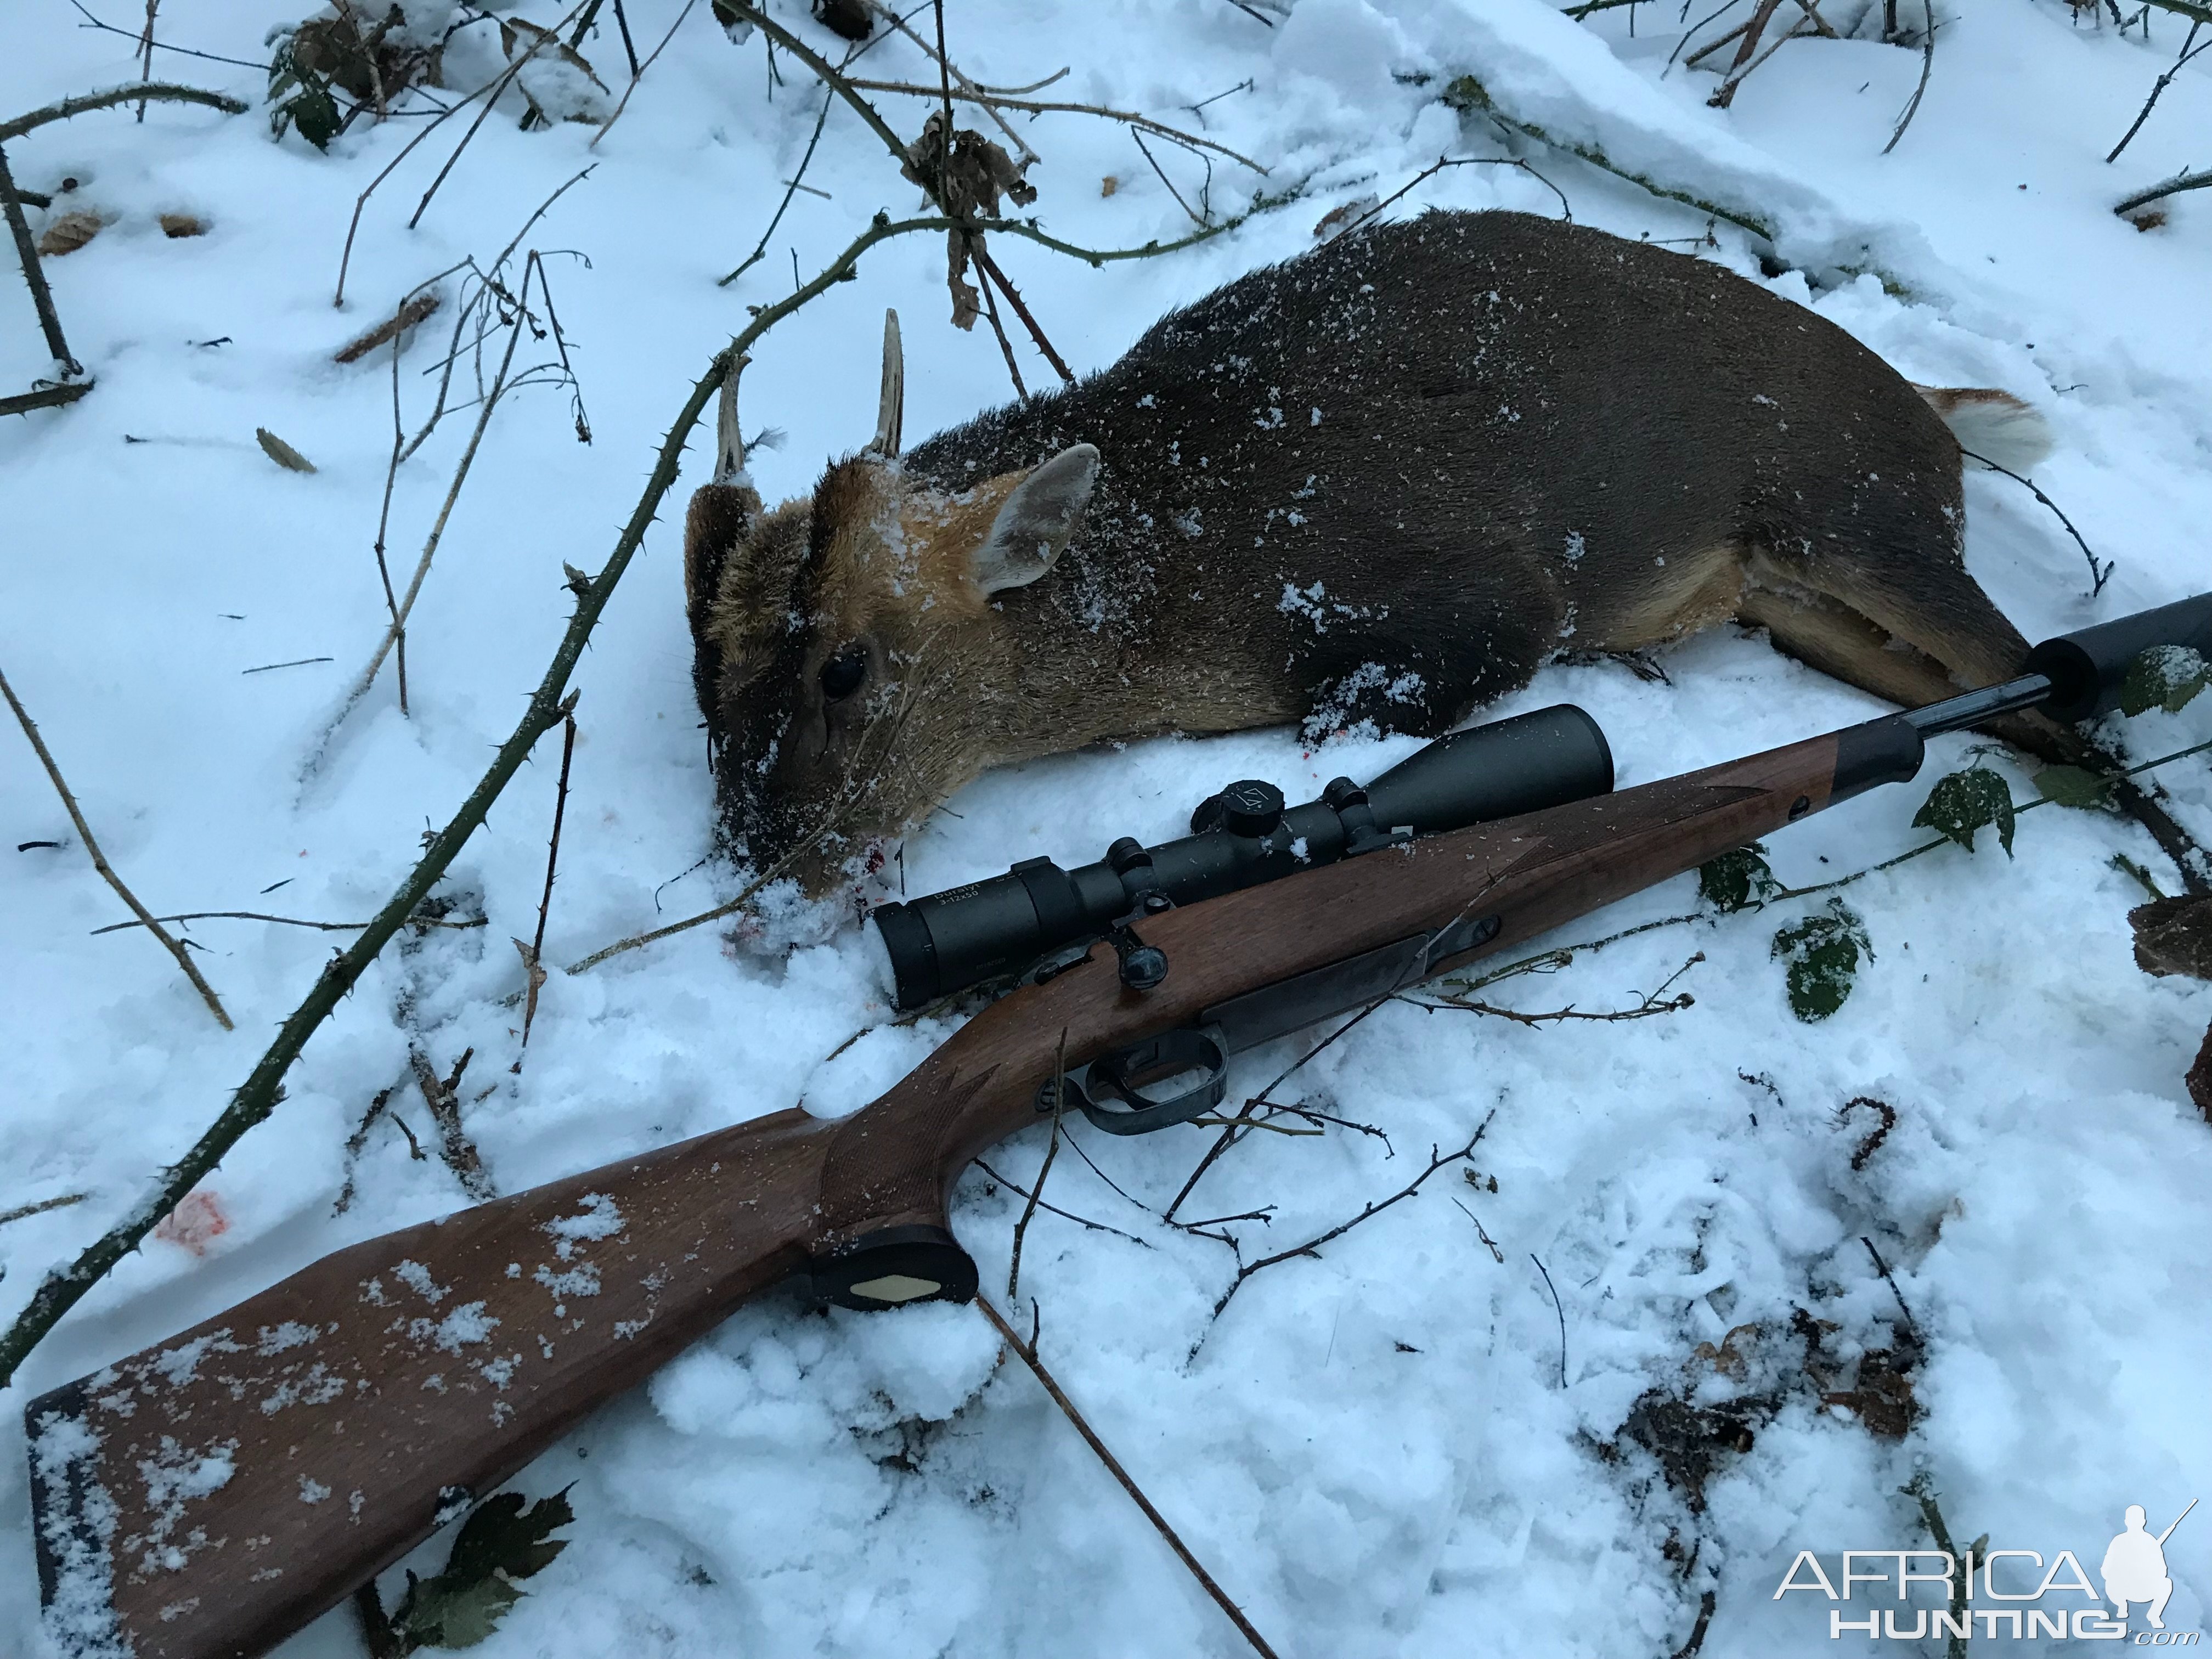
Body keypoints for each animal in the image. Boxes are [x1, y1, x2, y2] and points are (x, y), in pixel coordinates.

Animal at [685, 216, 2194, 902]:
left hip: (1864, 517)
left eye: (845, 668)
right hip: (1794, 601)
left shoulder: (1488, 597)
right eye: (706, 692)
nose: (761, 851)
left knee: (2052, 682)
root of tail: (1935, 418)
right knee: (1998, 701)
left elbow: (1381, 701)